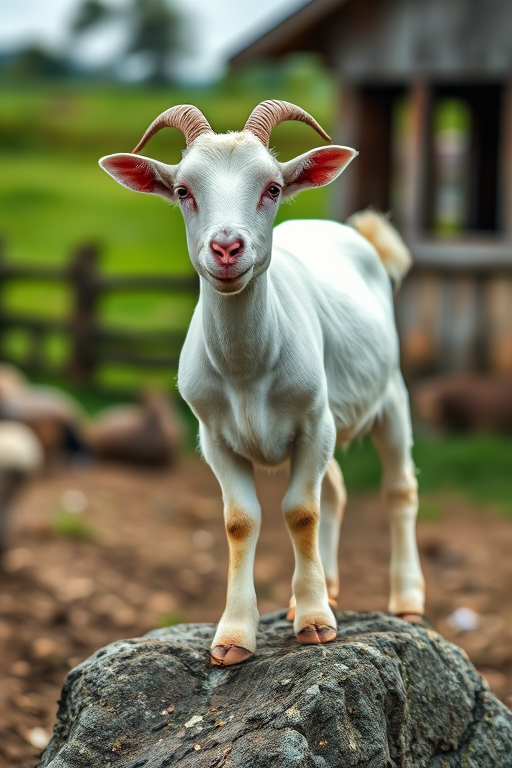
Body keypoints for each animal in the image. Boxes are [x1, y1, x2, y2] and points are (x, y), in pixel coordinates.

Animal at [99, 101, 424, 666]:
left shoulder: (313, 423)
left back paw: (406, 602)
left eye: (272, 187)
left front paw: (316, 623)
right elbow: (241, 521)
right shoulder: (213, 436)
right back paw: (326, 588)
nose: (227, 247)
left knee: (398, 488)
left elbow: (300, 512)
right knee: (336, 489)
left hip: (390, 395)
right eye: (183, 191)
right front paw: (234, 636)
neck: (247, 372)